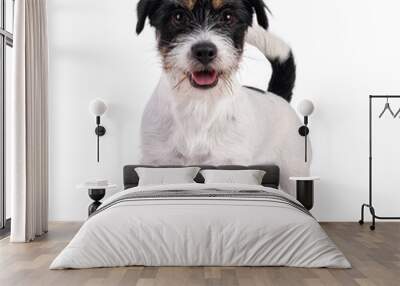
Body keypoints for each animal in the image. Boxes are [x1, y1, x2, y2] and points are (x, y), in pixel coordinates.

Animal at [136, 0, 310, 194]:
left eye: (228, 17)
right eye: (178, 16)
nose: (204, 51)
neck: (198, 104)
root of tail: (277, 96)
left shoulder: (230, 161)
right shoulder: (157, 159)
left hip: (294, 171)